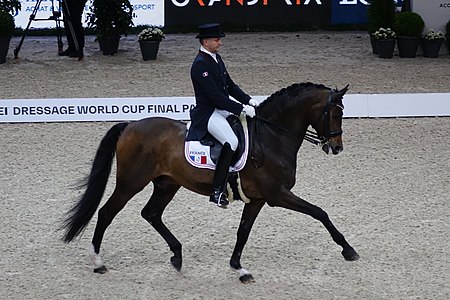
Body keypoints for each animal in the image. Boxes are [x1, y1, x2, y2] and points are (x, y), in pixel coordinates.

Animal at [61, 82, 360, 284]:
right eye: (334, 113)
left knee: (151, 213)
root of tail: (130, 125)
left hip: (167, 184)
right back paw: (98, 262)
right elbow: (320, 212)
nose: (337, 147)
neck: (273, 136)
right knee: (106, 213)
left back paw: (177, 256)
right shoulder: (277, 194)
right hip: (131, 183)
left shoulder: (259, 199)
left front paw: (239, 268)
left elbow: (243, 232)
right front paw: (348, 250)